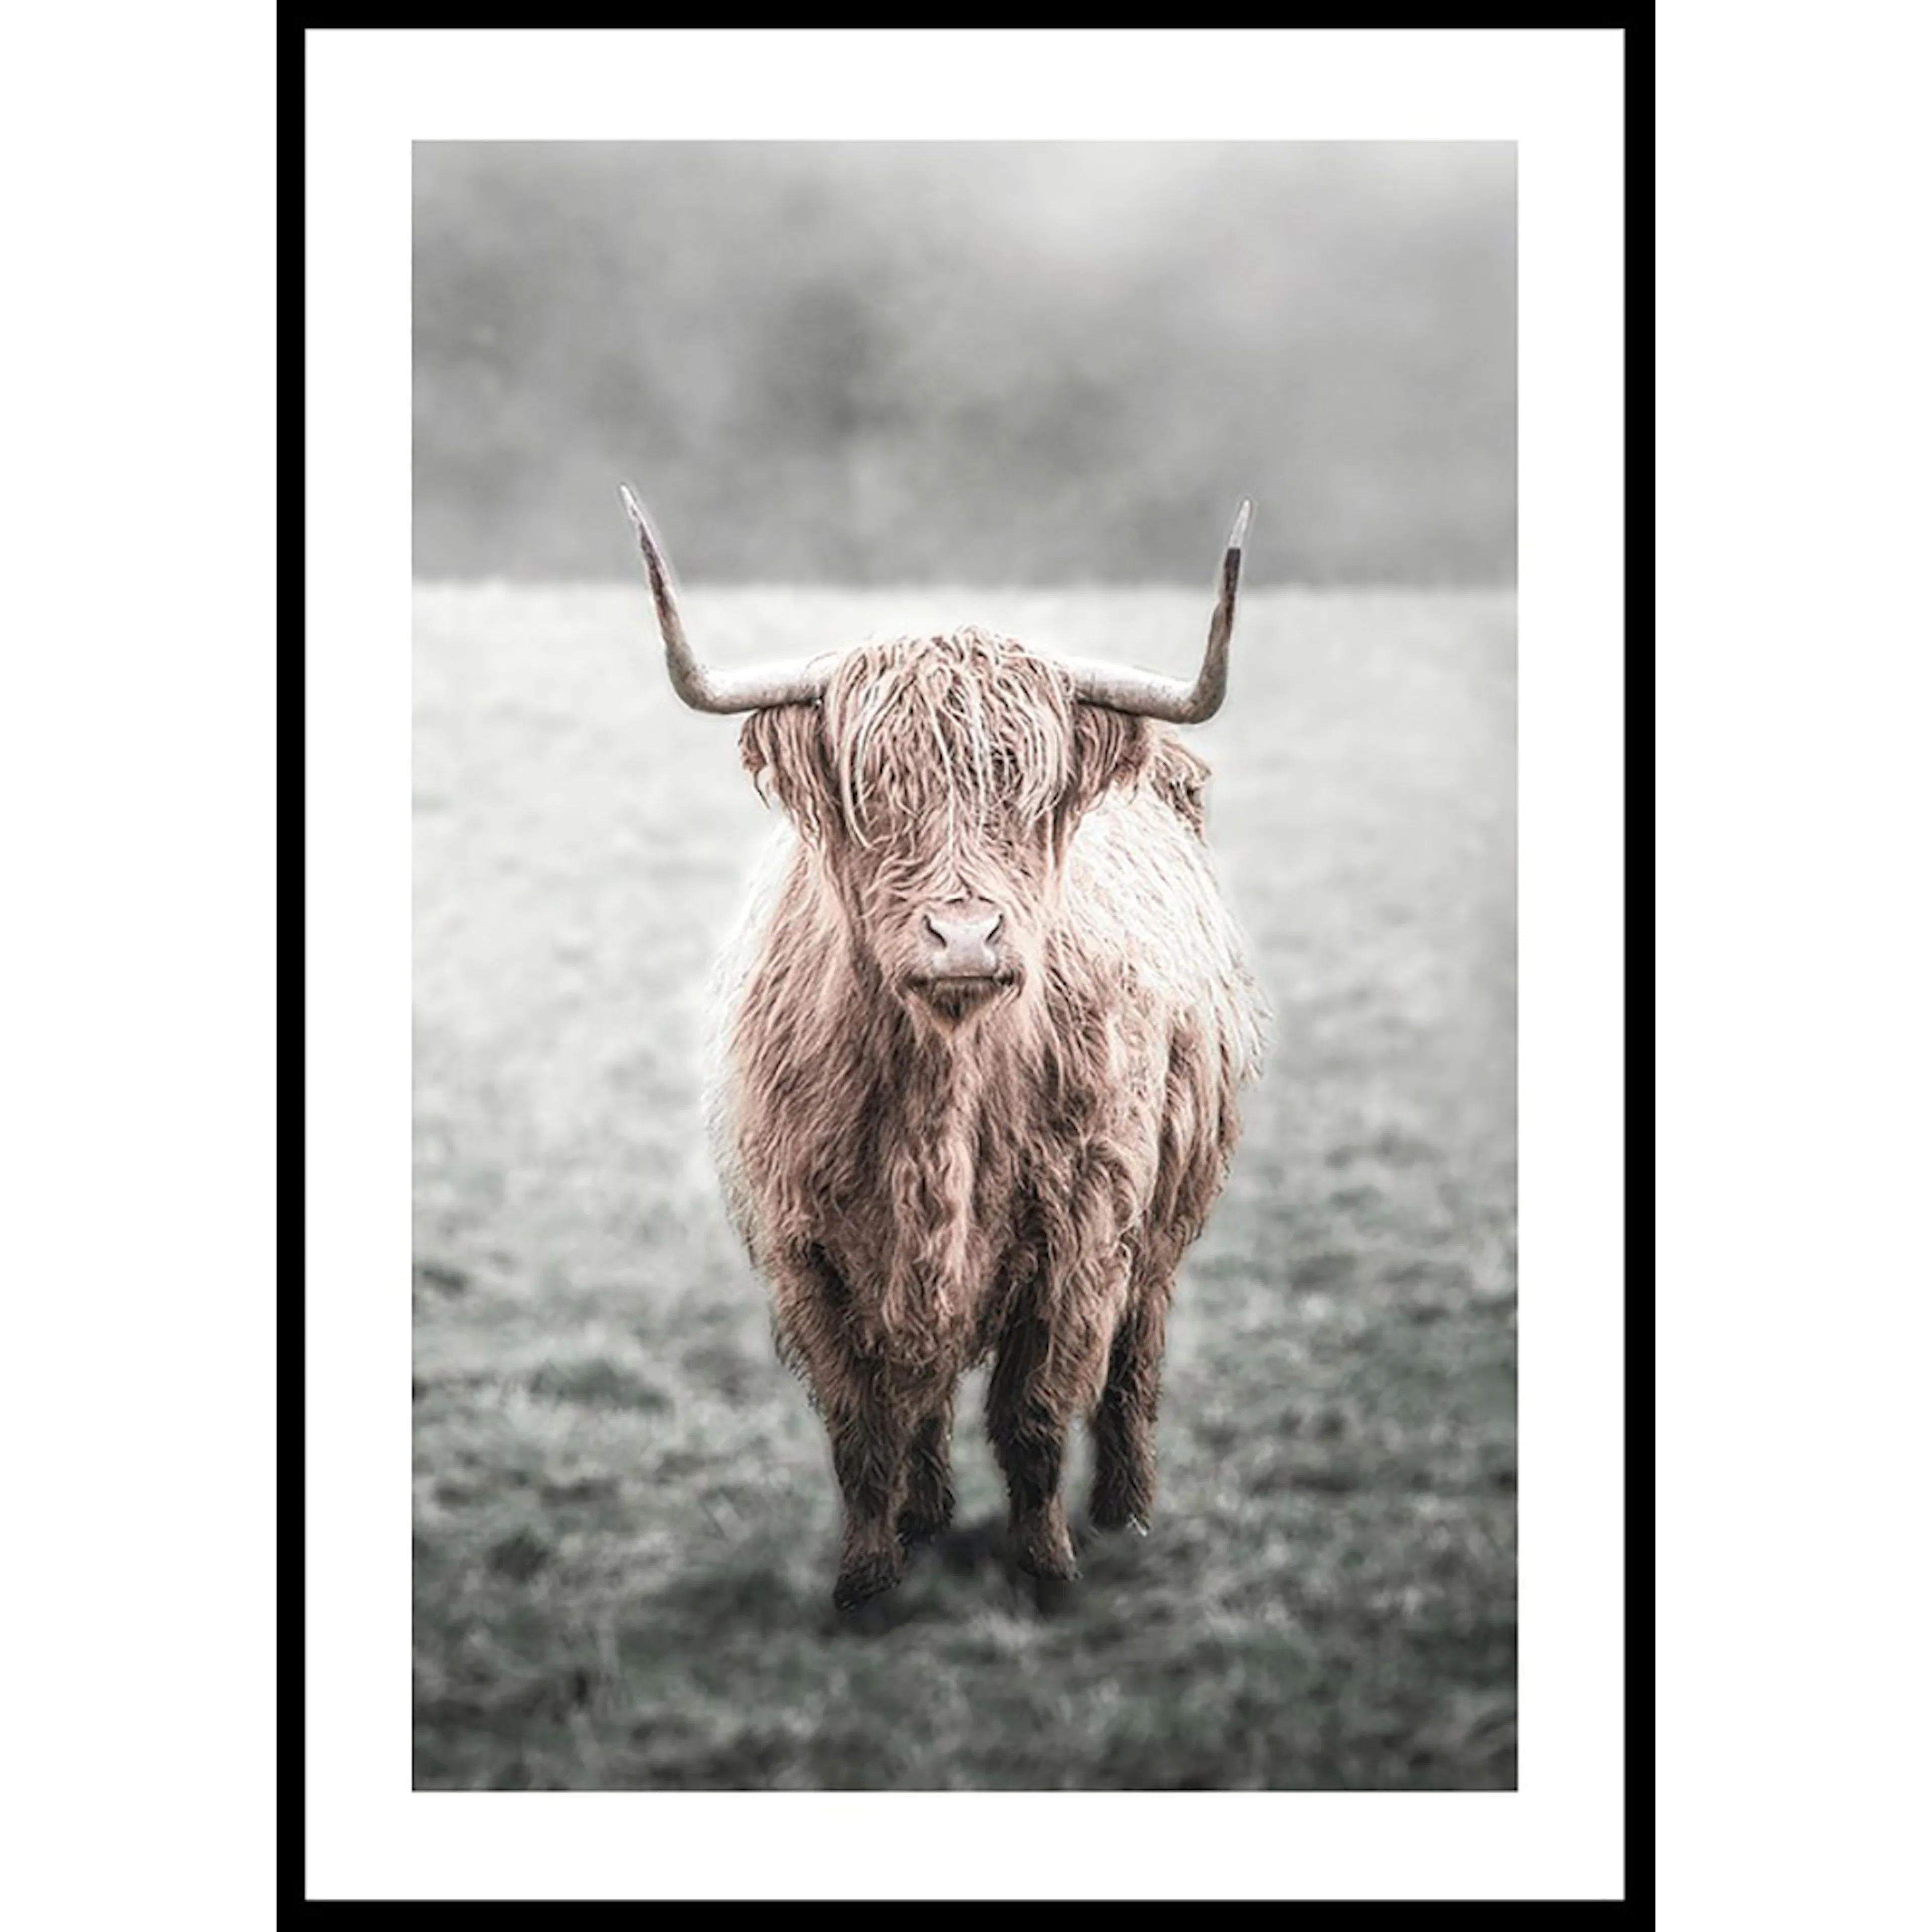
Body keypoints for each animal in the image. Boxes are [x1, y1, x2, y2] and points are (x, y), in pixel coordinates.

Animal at [621, 486, 1268, 1614]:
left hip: (1164, 1223)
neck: (946, 1090)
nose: (965, 937)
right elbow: (861, 1428)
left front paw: (1047, 1568)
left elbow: (1037, 1416)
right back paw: (925, 1517)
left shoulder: (1084, 1238)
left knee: (1135, 1364)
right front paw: (867, 1579)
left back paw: (1127, 1513)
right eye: (875, 791)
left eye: (1029, 792)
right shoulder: (808, 1253)